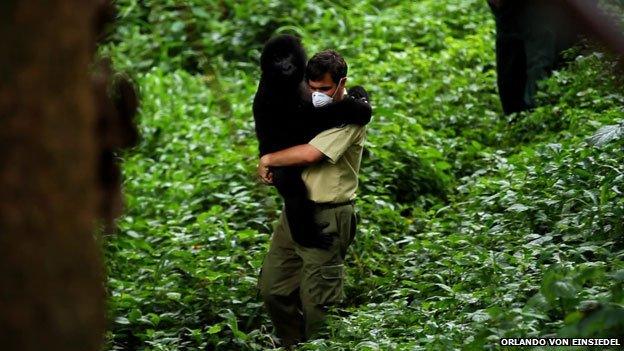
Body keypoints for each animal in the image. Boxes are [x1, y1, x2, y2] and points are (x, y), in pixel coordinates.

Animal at [254, 35, 370, 250]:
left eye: (287, 55)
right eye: (276, 58)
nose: (285, 65)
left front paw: (359, 92)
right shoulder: (273, 92)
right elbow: (296, 130)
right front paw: (356, 108)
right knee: (292, 187)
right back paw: (305, 236)